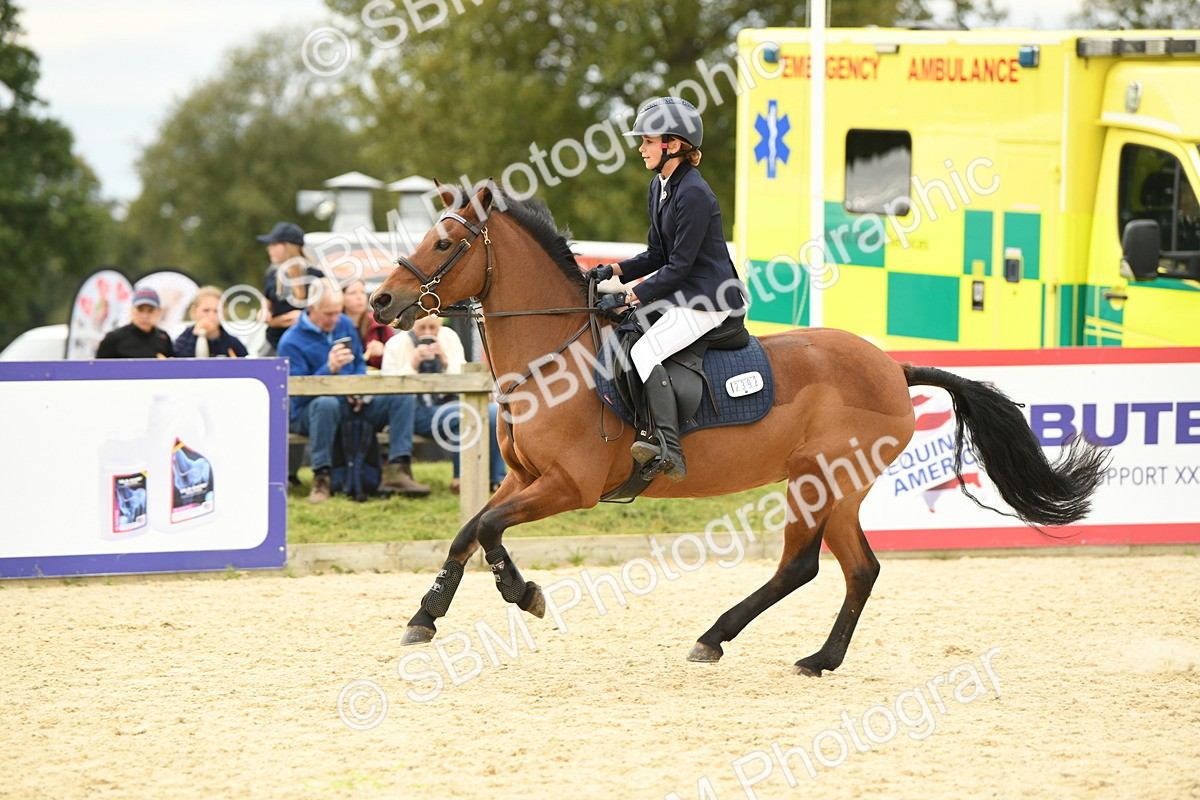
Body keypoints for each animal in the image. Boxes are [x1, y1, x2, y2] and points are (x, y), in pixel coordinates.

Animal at [370, 184, 1108, 676]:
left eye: (443, 242)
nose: (379, 300)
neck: (558, 355)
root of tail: (892, 366)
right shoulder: (525, 477)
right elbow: (469, 530)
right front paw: (424, 617)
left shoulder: (568, 487)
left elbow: (491, 530)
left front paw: (523, 594)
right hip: (832, 487)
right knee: (853, 568)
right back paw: (809, 655)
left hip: (821, 480)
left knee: (811, 566)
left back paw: (732, 640)